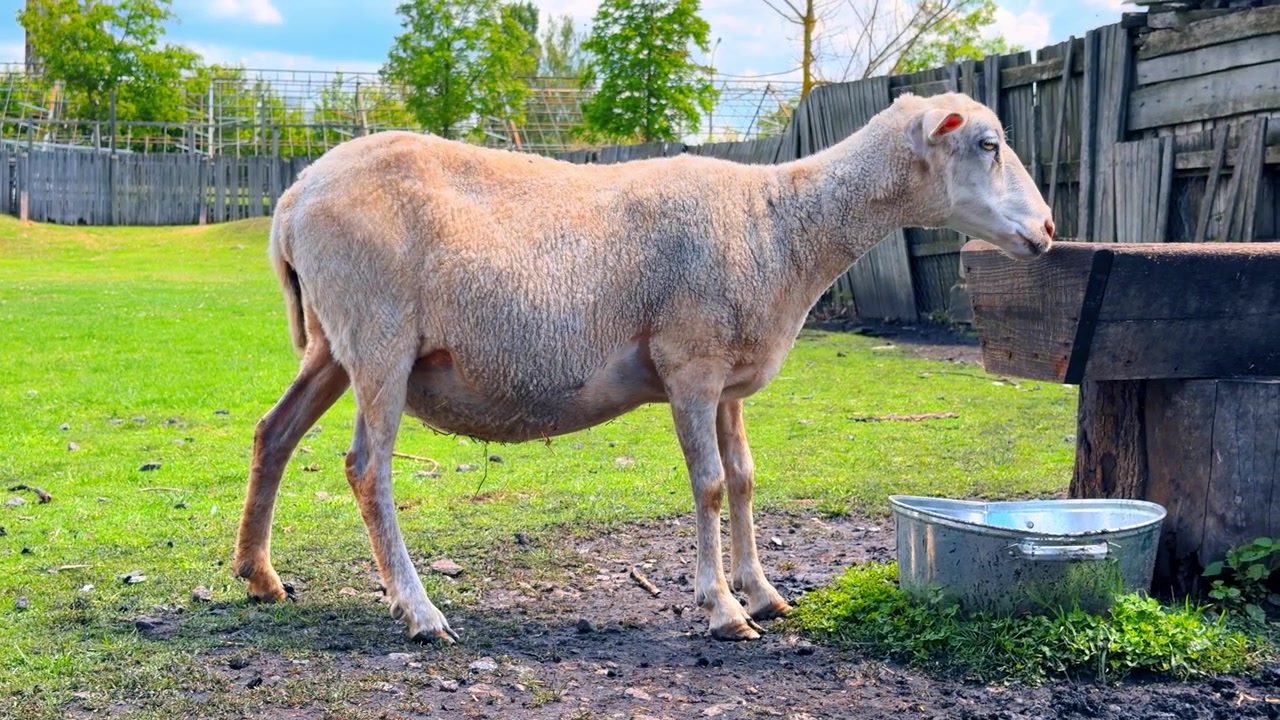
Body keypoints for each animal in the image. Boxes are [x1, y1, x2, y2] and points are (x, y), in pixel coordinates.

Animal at [232, 90, 1055, 644]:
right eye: (987, 144)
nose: (1048, 228)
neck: (785, 227)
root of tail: (294, 196)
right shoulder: (688, 362)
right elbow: (711, 484)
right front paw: (722, 608)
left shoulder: (728, 377)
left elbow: (746, 477)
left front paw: (763, 592)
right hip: (379, 338)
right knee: (367, 468)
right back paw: (420, 610)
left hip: (333, 344)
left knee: (274, 433)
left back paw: (258, 575)